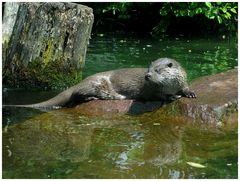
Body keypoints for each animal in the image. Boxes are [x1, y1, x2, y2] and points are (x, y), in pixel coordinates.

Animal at [5, 58, 196, 109]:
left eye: (157, 70)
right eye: (148, 69)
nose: (147, 76)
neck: (171, 85)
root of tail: (80, 81)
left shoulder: (182, 80)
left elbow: (185, 87)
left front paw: (190, 92)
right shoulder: (150, 90)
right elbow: (158, 95)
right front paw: (171, 97)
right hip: (96, 85)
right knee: (76, 95)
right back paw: (92, 99)